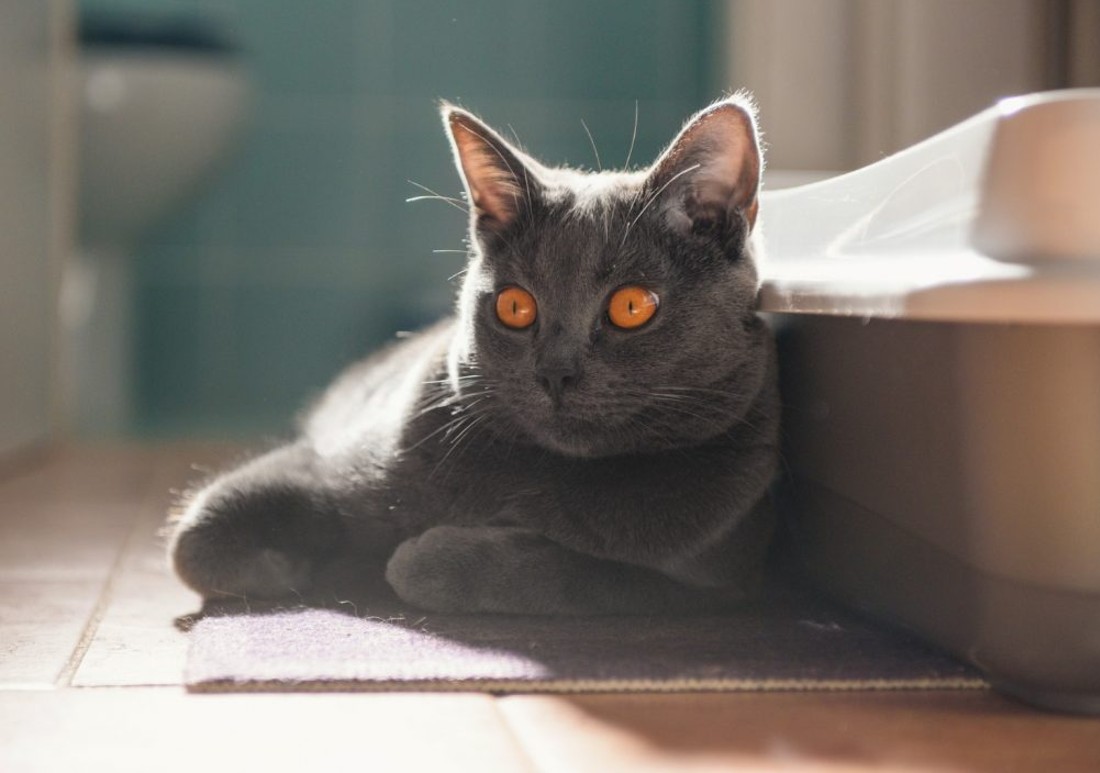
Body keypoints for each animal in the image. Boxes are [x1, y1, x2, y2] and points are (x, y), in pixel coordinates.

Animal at [167, 96, 778, 615]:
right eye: (514, 306)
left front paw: (418, 558)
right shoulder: (327, 458)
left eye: (632, 306)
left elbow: (575, 574)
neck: (538, 473)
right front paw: (290, 566)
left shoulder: (719, 588)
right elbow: (193, 538)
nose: (555, 372)